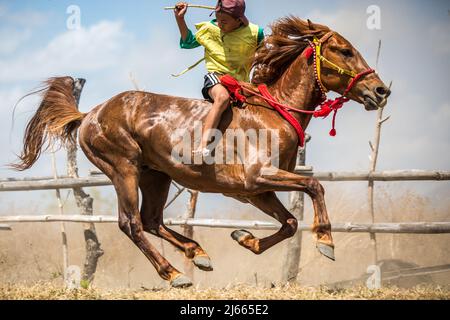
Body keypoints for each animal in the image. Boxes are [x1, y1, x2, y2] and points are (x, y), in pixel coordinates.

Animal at [14, 17, 390, 288]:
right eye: (344, 50)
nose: (380, 91)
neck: (274, 112)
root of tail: (90, 113)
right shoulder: (260, 178)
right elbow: (315, 187)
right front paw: (326, 241)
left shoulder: (255, 191)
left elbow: (290, 222)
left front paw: (245, 239)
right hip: (123, 169)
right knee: (131, 224)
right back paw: (174, 273)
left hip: (155, 175)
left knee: (152, 220)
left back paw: (198, 254)